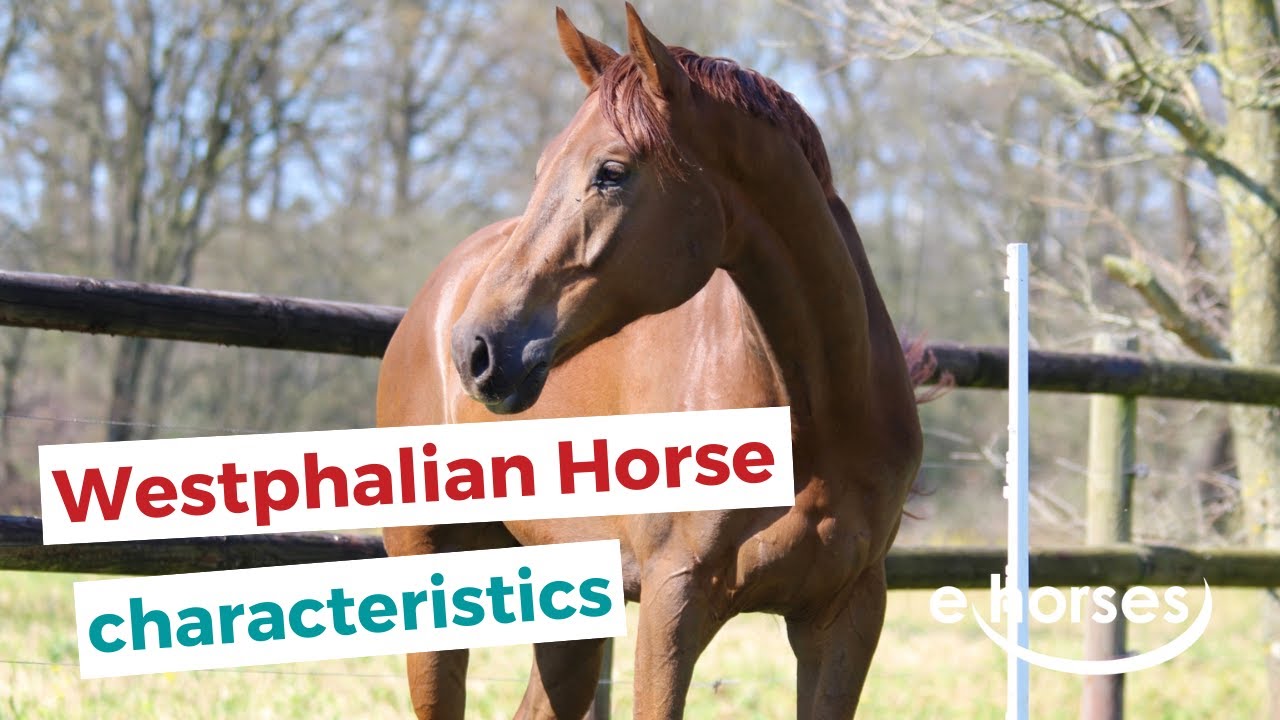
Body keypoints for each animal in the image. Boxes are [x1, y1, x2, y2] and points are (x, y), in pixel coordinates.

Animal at [377, 5, 927, 718]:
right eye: (541, 168)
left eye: (611, 172)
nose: (477, 348)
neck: (819, 412)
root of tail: (435, 299)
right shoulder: (676, 601)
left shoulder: (846, 616)